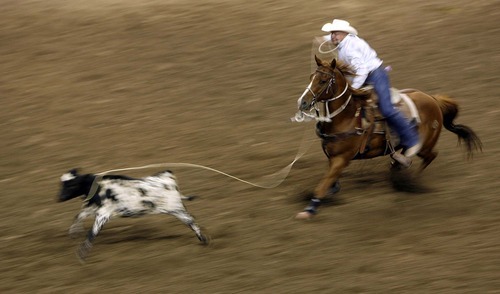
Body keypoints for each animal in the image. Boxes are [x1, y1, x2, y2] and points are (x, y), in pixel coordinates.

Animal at [58, 169, 207, 260]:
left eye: (72, 185)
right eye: (62, 184)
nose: (60, 198)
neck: (99, 188)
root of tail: (168, 178)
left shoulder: (103, 214)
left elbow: (91, 233)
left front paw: (81, 254)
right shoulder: (92, 208)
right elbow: (78, 216)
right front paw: (74, 234)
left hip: (176, 209)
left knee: (191, 221)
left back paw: (204, 240)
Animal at [292, 56, 480, 219]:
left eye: (323, 81)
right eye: (311, 77)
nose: (302, 102)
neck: (348, 117)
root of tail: (433, 99)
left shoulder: (341, 158)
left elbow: (322, 185)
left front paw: (309, 210)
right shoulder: (332, 158)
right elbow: (330, 181)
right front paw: (331, 191)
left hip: (425, 145)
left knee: (430, 156)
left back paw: (410, 182)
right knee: (404, 159)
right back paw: (398, 168)